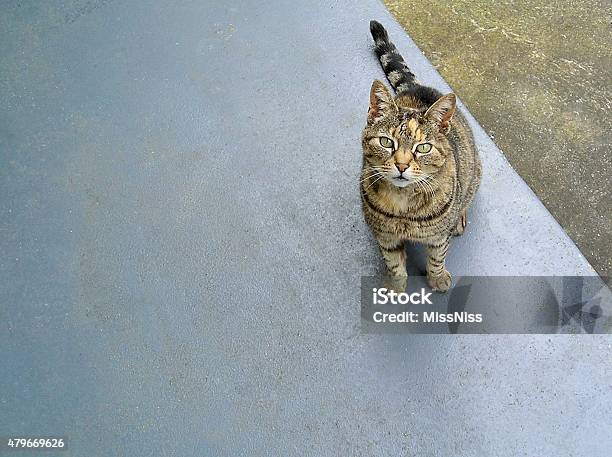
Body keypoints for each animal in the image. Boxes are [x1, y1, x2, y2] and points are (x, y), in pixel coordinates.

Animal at [358, 21, 482, 290]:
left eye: (423, 148)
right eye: (386, 142)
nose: (402, 165)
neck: (403, 204)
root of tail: (417, 87)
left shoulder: (438, 237)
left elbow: (437, 257)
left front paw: (437, 278)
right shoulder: (386, 238)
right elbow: (395, 266)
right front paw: (395, 290)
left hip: (475, 173)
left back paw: (459, 218)